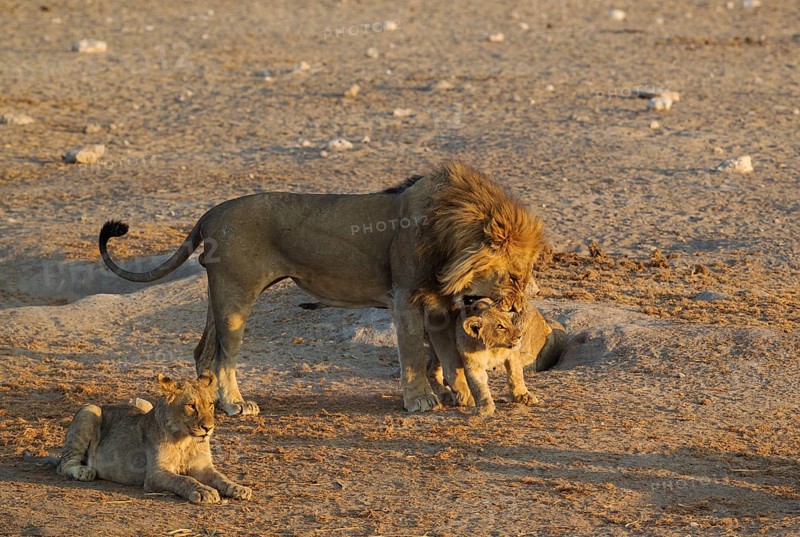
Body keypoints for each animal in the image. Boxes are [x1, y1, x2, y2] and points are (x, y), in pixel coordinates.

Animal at [23, 371, 252, 504]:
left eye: (211, 405)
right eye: (191, 406)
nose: (208, 428)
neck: (185, 439)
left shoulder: (202, 467)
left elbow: (220, 477)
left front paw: (238, 488)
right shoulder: (155, 474)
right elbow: (184, 479)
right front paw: (204, 491)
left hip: (141, 402)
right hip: (89, 409)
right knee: (64, 465)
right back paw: (84, 471)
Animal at [98, 161, 545, 415]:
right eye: (514, 277)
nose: (520, 310)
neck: (448, 231)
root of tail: (212, 212)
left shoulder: (435, 303)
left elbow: (449, 355)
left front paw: (462, 396)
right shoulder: (404, 297)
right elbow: (415, 355)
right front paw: (420, 400)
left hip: (217, 298)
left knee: (202, 352)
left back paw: (211, 403)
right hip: (235, 299)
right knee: (224, 357)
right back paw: (235, 404)